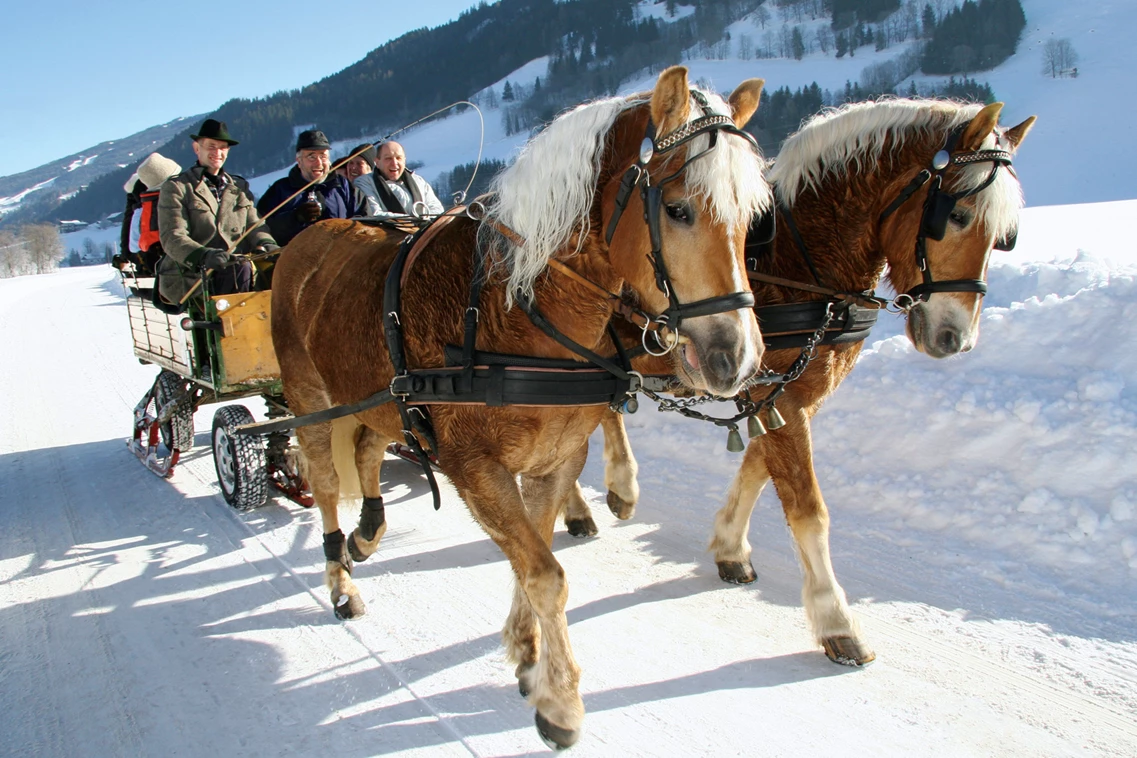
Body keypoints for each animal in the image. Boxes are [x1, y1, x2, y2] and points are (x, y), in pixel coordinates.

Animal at [269, 66, 768, 754]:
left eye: (753, 215)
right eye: (677, 208)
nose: (735, 357)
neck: (516, 306)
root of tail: (307, 236)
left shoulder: (556, 459)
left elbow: (531, 557)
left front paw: (526, 650)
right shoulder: (476, 468)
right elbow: (545, 573)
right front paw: (561, 701)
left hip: (380, 398)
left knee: (369, 447)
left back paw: (368, 533)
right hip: (310, 399)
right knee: (321, 482)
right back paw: (341, 579)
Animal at [563, 96, 1036, 668]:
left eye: (1005, 236)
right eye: (958, 215)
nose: (955, 337)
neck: (799, 258)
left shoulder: (786, 394)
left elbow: (757, 467)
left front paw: (729, 547)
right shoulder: (777, 394)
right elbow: (807, 507)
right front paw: (837, 621)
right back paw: (604, 493)